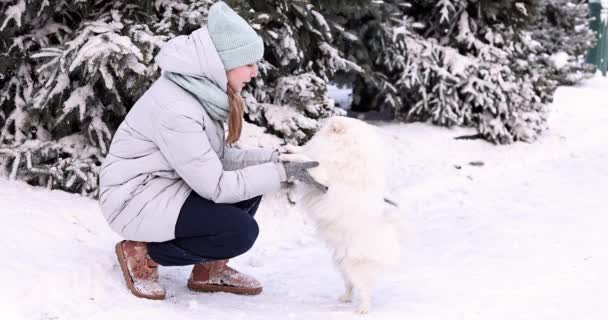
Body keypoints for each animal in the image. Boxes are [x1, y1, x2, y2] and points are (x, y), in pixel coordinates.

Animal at [282, 116, 402, 314]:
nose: (327, 118)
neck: (348, 149)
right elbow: (306, 151)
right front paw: (289, 148)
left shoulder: (324, 178)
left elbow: (309, 159)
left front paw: (290, 156)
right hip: (342, 266)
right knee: (350, 284)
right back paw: (345, 298)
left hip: (356, 268)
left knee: (364, 289)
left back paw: (363, 309)